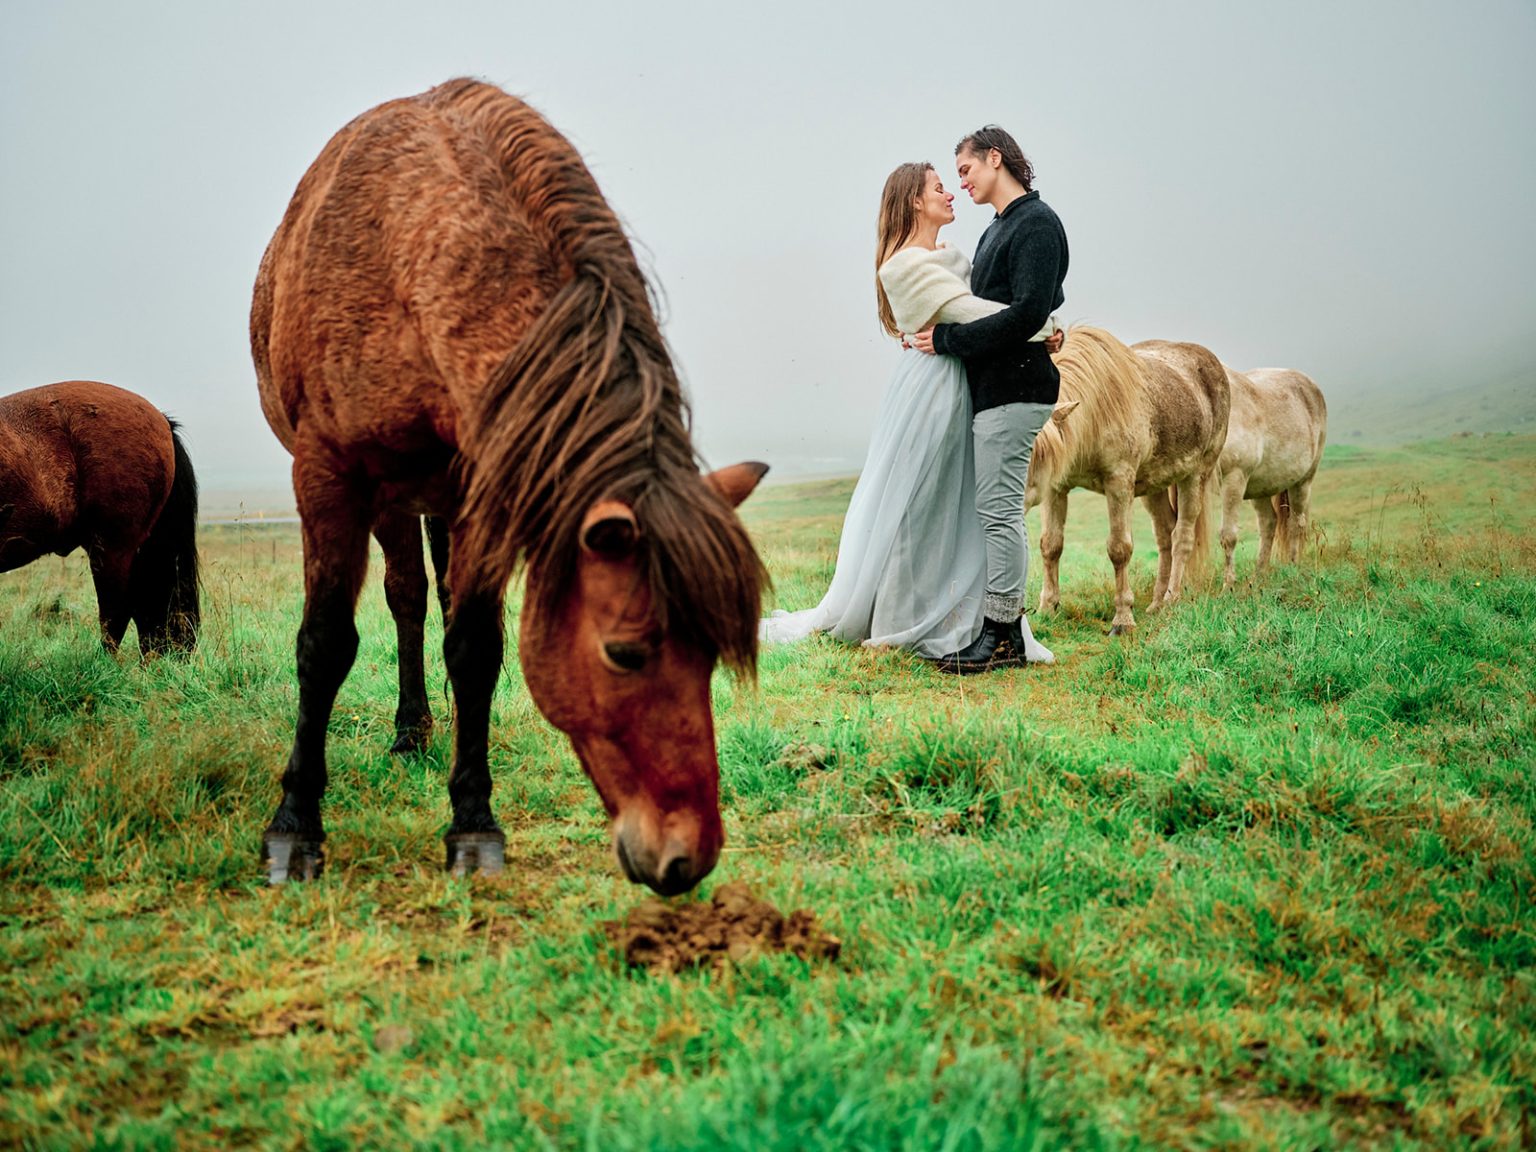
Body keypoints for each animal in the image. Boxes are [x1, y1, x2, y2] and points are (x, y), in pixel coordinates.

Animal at [251, 78, 769, 894]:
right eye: (626, 653)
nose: (689, 857)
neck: (410, 251)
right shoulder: (328, 474)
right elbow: (325, 643)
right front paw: (295, 827)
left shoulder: (478, 490)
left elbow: (475, 649)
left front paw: (472, 825)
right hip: (386, 499)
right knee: (404, 597)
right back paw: (407, 732)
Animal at [1024, 327, 1229, 634]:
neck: (1094, 411)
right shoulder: (1056, 487)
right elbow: (1051, 546)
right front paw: (1048, 608)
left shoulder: (1119, 483)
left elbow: (1119, 549)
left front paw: (1123, 619)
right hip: (1154, 486)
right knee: (1165, 536)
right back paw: (1156, 603)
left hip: (1195, 476)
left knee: (1181, 537)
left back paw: (1171, 601)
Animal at [1216, 366, 1327, 588]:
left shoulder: (1233, 479)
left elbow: (1228, 536)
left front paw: (1228, 586)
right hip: (1260, 488)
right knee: (1269, 523)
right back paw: (1259, 575)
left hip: (1302, 483)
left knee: (1295, 524)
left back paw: (1293, 568)